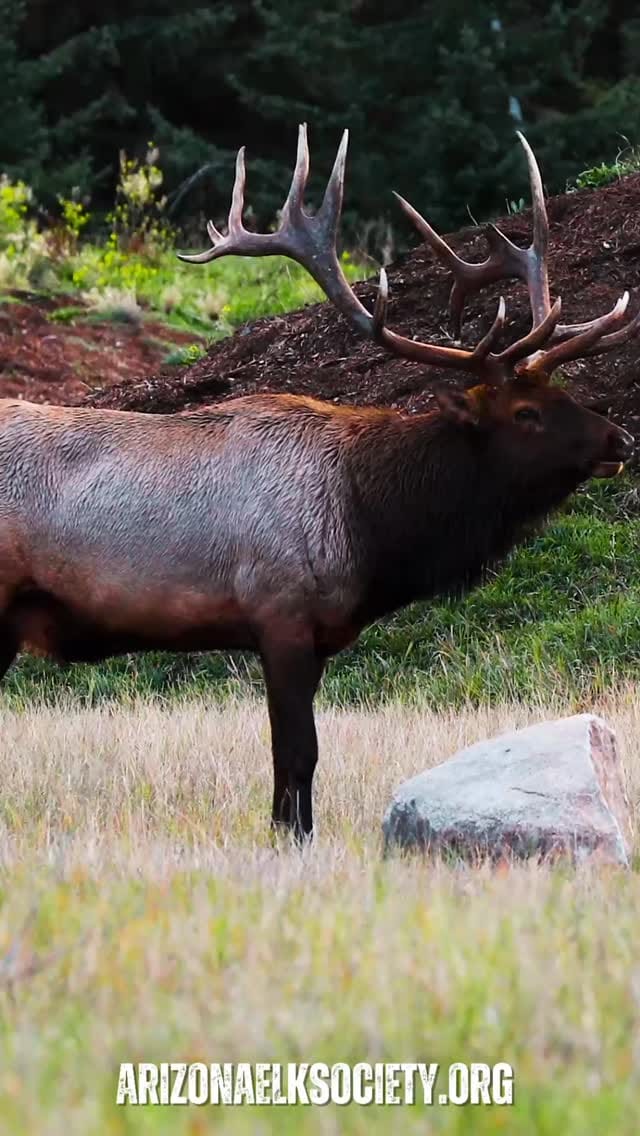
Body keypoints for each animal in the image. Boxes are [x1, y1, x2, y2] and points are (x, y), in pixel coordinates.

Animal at [0, 128, 635, 843]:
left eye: (566, 391)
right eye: (525, 413)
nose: (620, 441)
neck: (371, 527)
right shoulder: (279, 613)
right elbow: (296, 755)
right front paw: (289, 839)